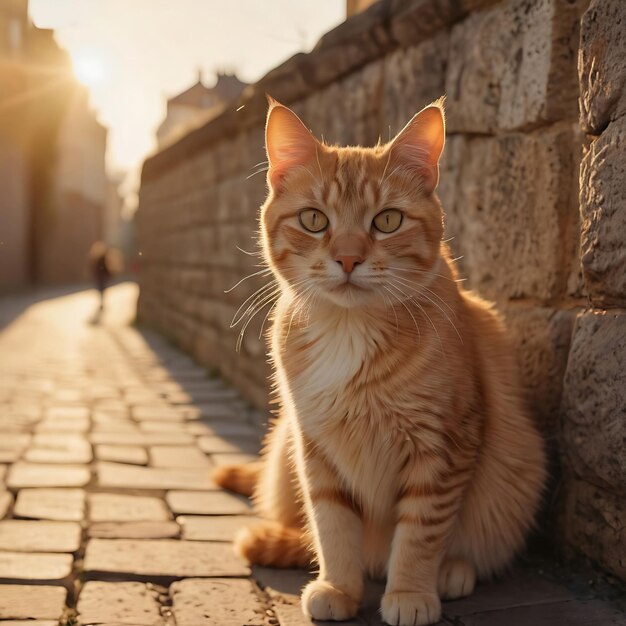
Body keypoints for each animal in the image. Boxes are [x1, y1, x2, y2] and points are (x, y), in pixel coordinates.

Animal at [212, 97, 544, 624]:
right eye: (314, 219)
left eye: (387, 221)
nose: (348, 259)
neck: (349, 331)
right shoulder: (316, 447)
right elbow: (332, 526)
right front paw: (339, 588)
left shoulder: (443, 448)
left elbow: (420, 534)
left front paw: (409, 591)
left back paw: (452, 572)